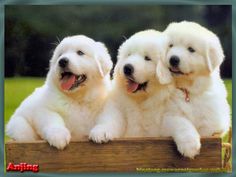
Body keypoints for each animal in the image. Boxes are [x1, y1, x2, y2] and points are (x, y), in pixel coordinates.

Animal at [159, 21, 230, 158]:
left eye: (191, 49)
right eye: (171, 46)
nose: (173, 59)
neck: (188, 91)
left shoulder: (216, 121)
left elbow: (206, 129)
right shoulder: (167, 115)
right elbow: (181, 122)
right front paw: (190, 146)